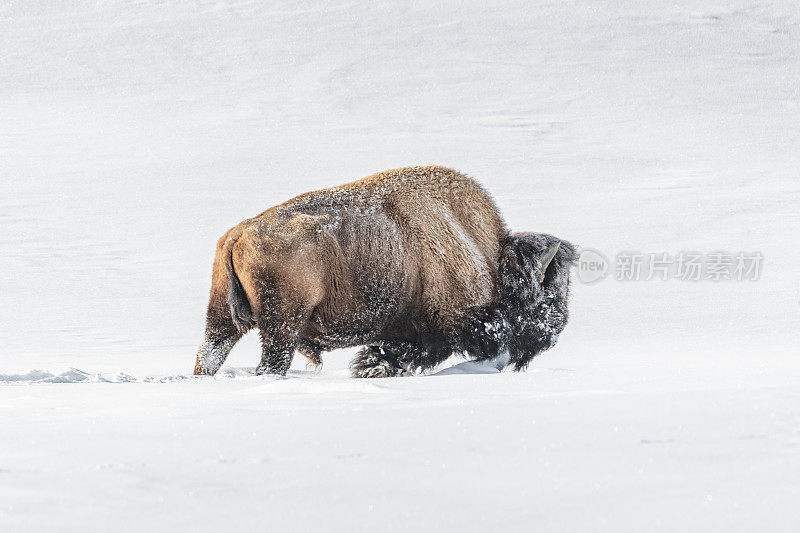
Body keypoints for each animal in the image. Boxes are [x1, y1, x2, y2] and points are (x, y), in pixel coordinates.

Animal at [197, 164, 580, 376]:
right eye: (547, 293)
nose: (555, 330)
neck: (486, 252)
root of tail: (237, 234)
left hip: (222, 317)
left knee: (209, 355)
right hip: (282, 326)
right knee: (270, 364)